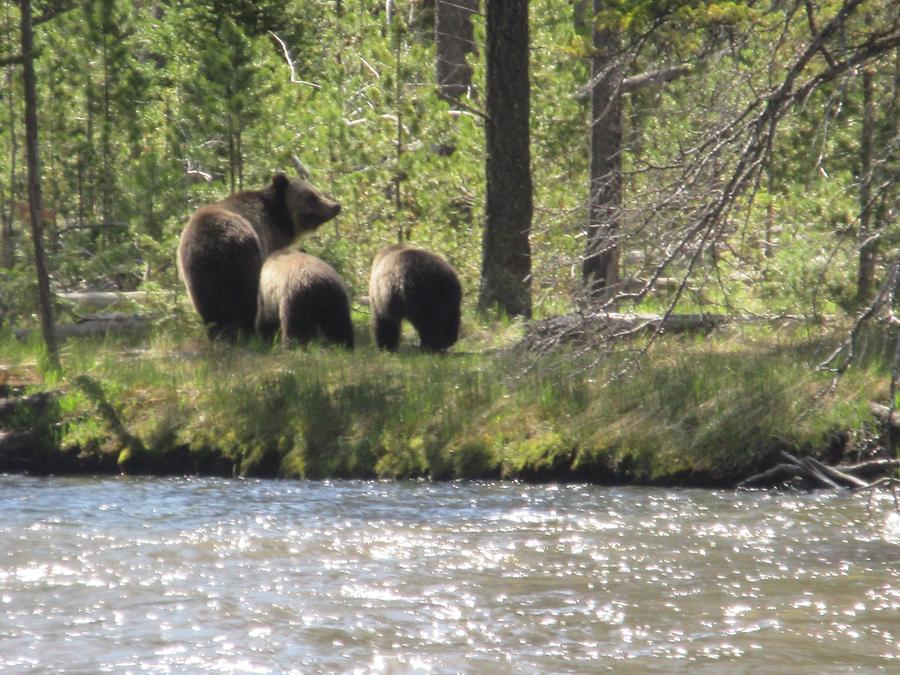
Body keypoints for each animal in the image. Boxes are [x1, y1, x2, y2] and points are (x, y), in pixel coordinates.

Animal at [177, 172, 342, 340]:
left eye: (316, 192)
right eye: (311, 196)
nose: (336, 206)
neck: (279, 219)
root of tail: (214, 242)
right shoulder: (268, 239)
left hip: (198, 273)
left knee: (211, 308)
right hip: (245, 257)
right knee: (248, 299)